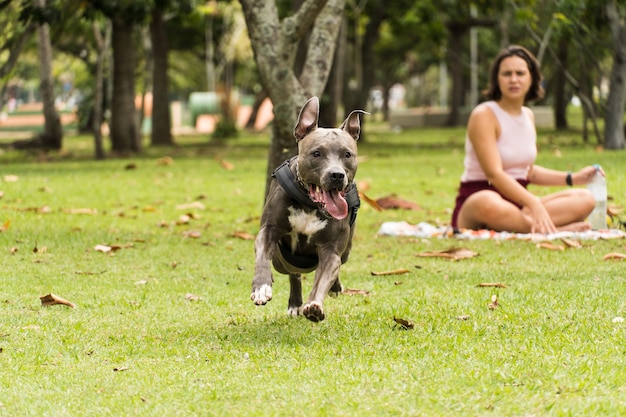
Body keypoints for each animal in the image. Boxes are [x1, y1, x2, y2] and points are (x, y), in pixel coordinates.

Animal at [250, 97, 366, 322]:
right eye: (316, 153)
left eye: (347, 154)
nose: (337, 175)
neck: (310, 204)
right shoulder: (269, 230)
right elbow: (262, 257)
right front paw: (261, 287)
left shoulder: (331, 249)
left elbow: (323, 278)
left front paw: (314, 306)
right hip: (282, 261)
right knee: (293, 273)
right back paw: (295, 303)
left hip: (347, 249)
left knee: (337, 264)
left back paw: (334, 288)